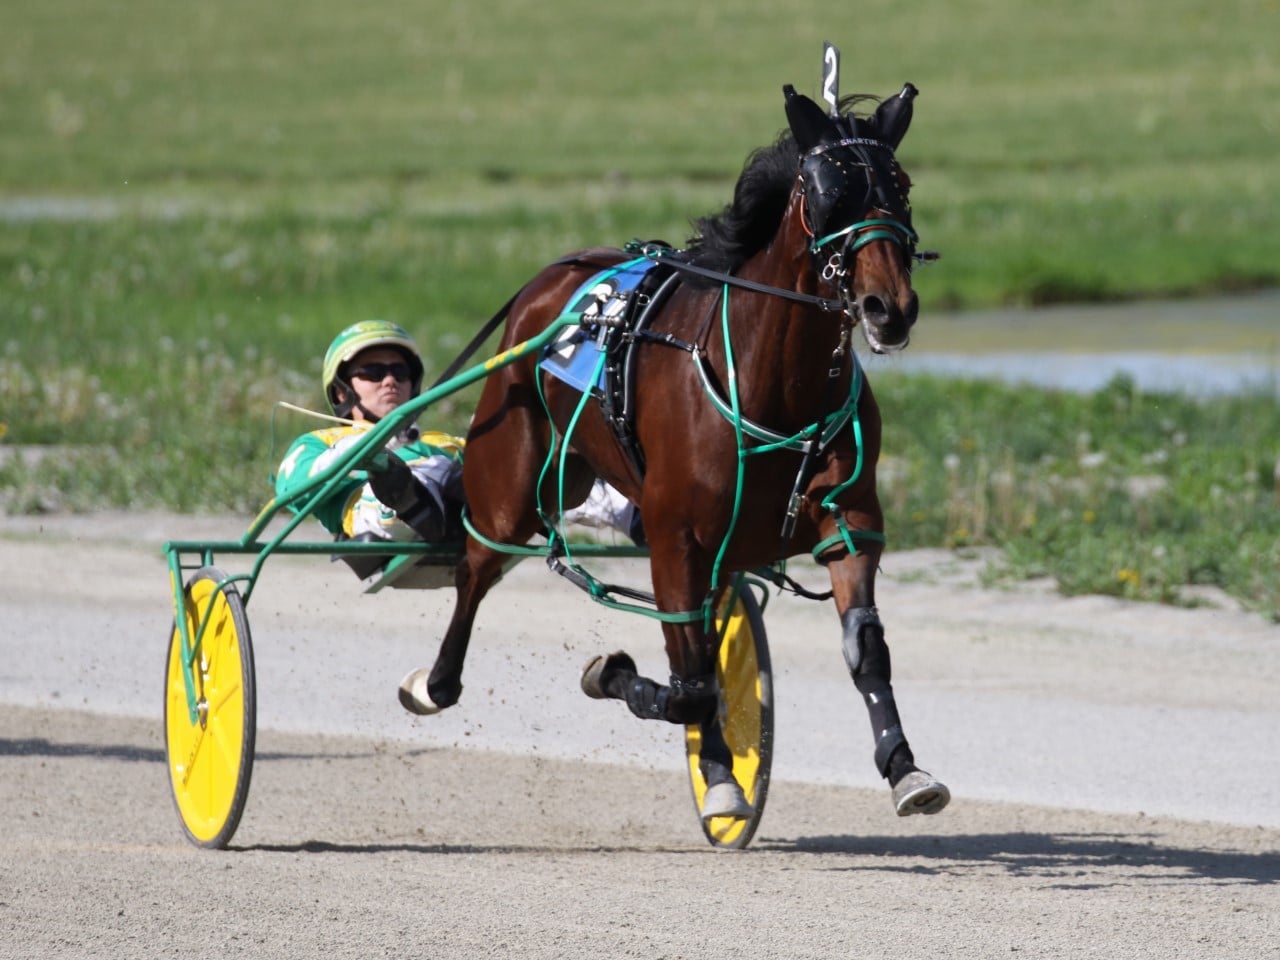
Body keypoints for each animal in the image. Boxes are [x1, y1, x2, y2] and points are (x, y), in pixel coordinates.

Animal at [399, 82, 949, 820]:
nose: (889, 308)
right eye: (829, 194)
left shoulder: (849, 522)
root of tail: (561, 273)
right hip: (511, 481)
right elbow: (688, 681)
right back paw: (433, 684)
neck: (773, 388)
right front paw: (628, 688)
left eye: (901, 187)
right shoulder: (675, 540)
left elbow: (862, 648)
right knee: (475, 567)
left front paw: (905, 768)